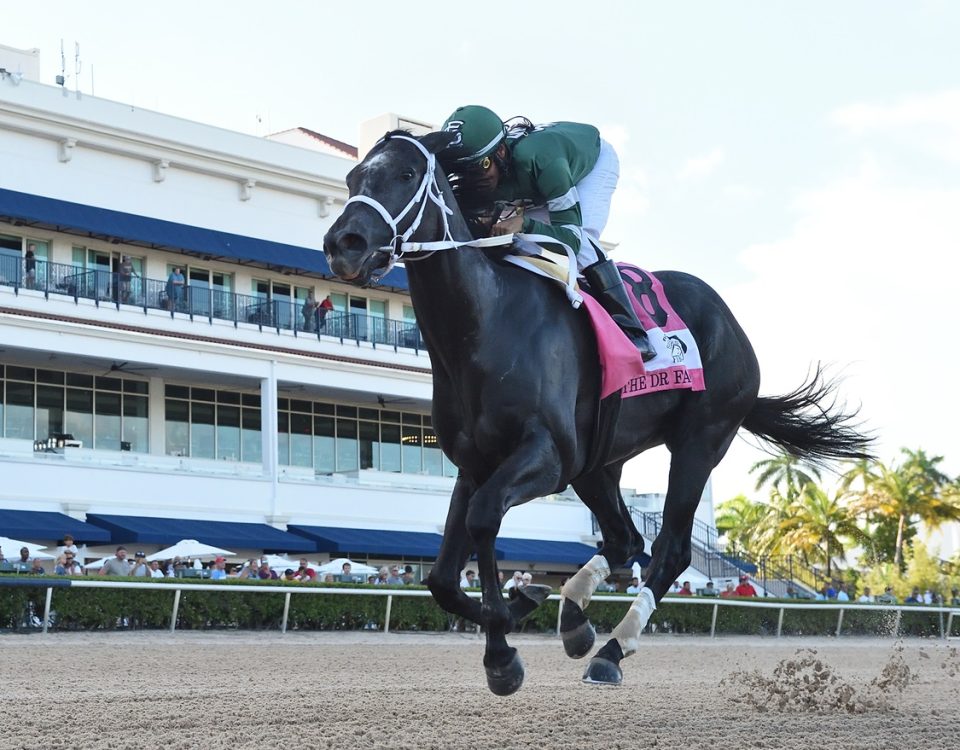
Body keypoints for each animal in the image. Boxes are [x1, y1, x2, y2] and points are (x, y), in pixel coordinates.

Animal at [322, 131, 872, 700]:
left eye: (406, 175)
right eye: (353, 177)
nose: (345, 244)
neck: (484, 325)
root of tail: (731, 323)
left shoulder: (548, 456)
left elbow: (484, 519)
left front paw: (503, 652)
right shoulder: (475, 466)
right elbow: (442, 580)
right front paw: (521, 606)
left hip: (700, 441)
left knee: (669, 550)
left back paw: (610, 650)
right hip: (600, 462)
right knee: (625, 538)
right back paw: (575, 618)